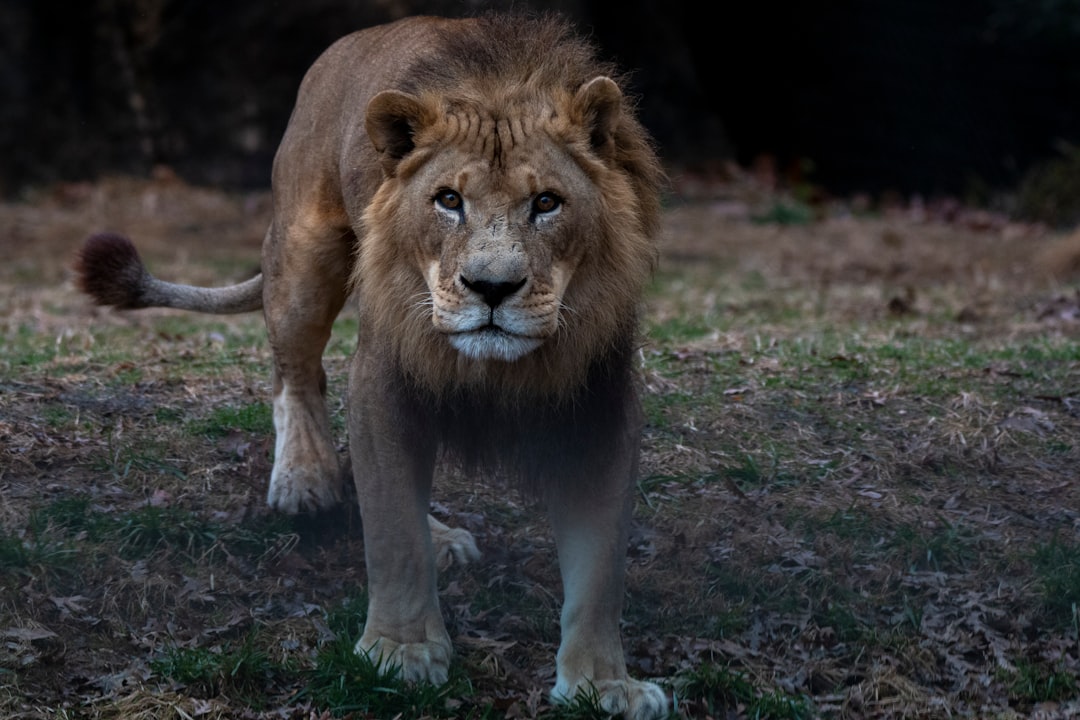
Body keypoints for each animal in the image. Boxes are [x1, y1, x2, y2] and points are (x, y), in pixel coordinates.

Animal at [75, 13, 667, 719]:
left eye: (547, 203)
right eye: (448, 200)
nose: (491, 288)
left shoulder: (601, 405)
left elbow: (601, 567)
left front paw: (604, 685)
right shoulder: (383, 379)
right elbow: (392, 533)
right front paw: (401, 652)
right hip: (303, 256)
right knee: (296, 373)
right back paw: (304, 480)